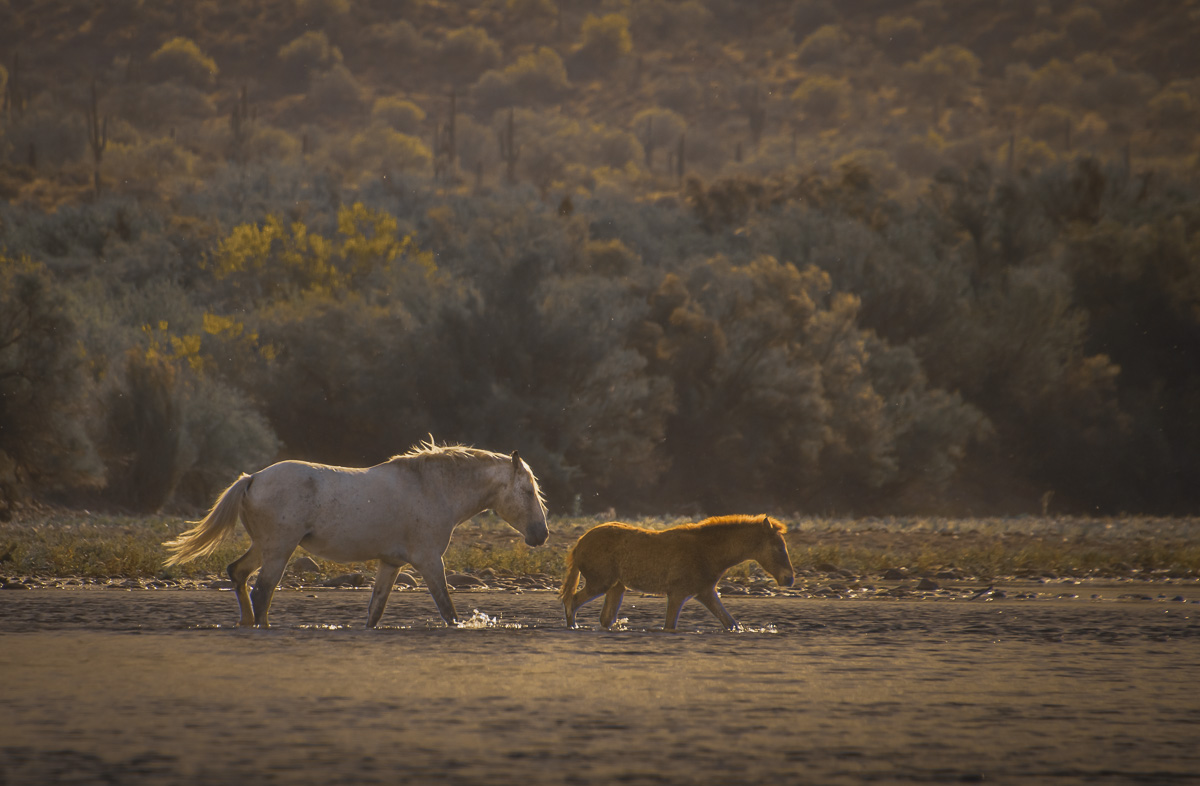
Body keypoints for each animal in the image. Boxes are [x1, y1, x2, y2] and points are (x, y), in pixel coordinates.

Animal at [163, 441, 548, 629]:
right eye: (528, 491)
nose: (541, 535)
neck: (432, 488)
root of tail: (252, 478)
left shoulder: (391, 564)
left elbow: (375, 612)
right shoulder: (429, 562)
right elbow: (447, 610)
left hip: (264, 548)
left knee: (238, 575)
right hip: (278, 550)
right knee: (262, 591)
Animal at [559, 515, 794, 631]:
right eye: (779, 548)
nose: (789, 578)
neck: (712, 555)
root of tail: (578, 545)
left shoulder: (705, 591)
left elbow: (731, 623)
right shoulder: (678, 592)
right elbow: (669, 625)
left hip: (617, 585)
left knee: (604, 617)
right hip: (601, 581)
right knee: (572, 600)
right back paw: (572, 626)